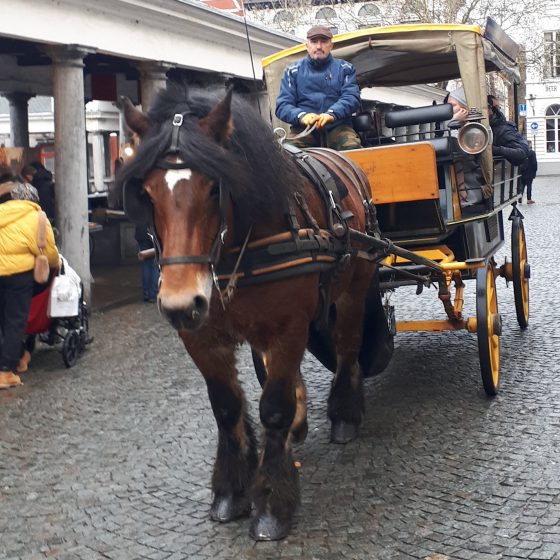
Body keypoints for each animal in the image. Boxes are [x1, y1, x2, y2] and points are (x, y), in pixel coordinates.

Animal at [118, 84, 390, 544]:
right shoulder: (202, 337)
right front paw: (231, 490)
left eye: (215, 188)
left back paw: (344, 414)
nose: (180, 304)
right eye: (148, 193)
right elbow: (227, 407)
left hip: (354, 288)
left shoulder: (288, 327)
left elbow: (273, 408)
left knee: (347, 346)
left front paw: (272, 505)